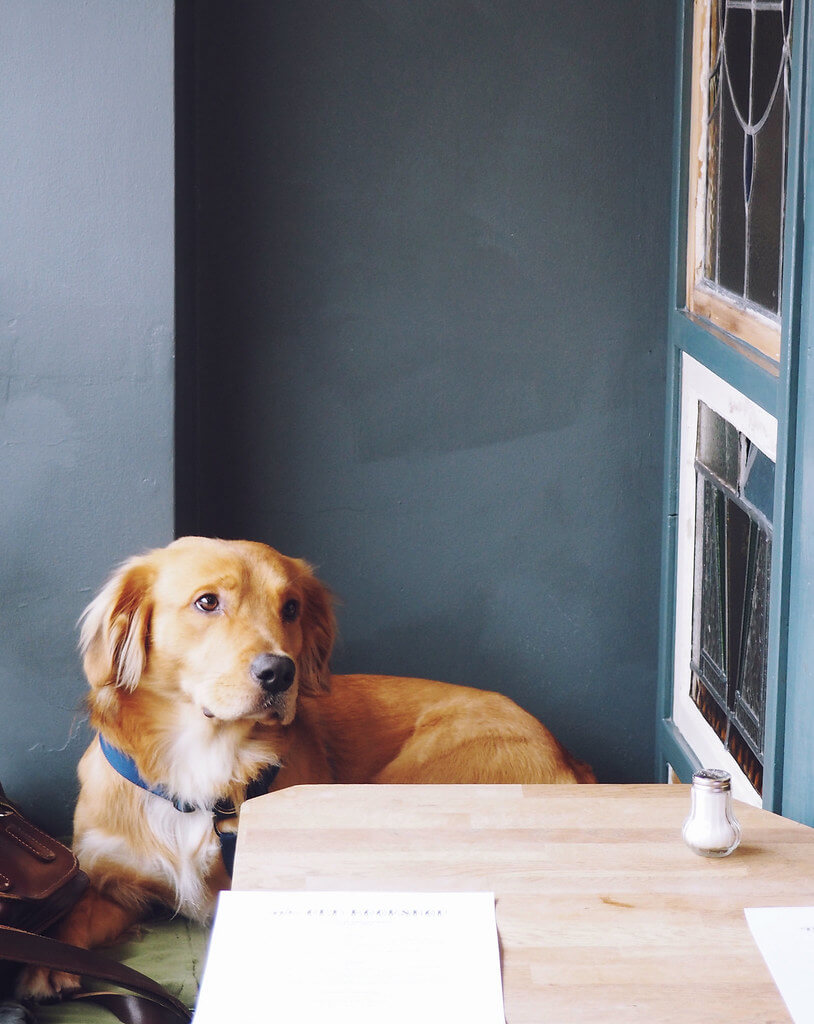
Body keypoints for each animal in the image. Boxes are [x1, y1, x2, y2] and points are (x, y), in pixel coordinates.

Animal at [22, 536, 593, 999]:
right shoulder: (113, 881)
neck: (202, 763)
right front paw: (45, 963)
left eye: (291, 607)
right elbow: (74, 913)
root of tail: (567, 753)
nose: (280, 673)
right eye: (207, 601)